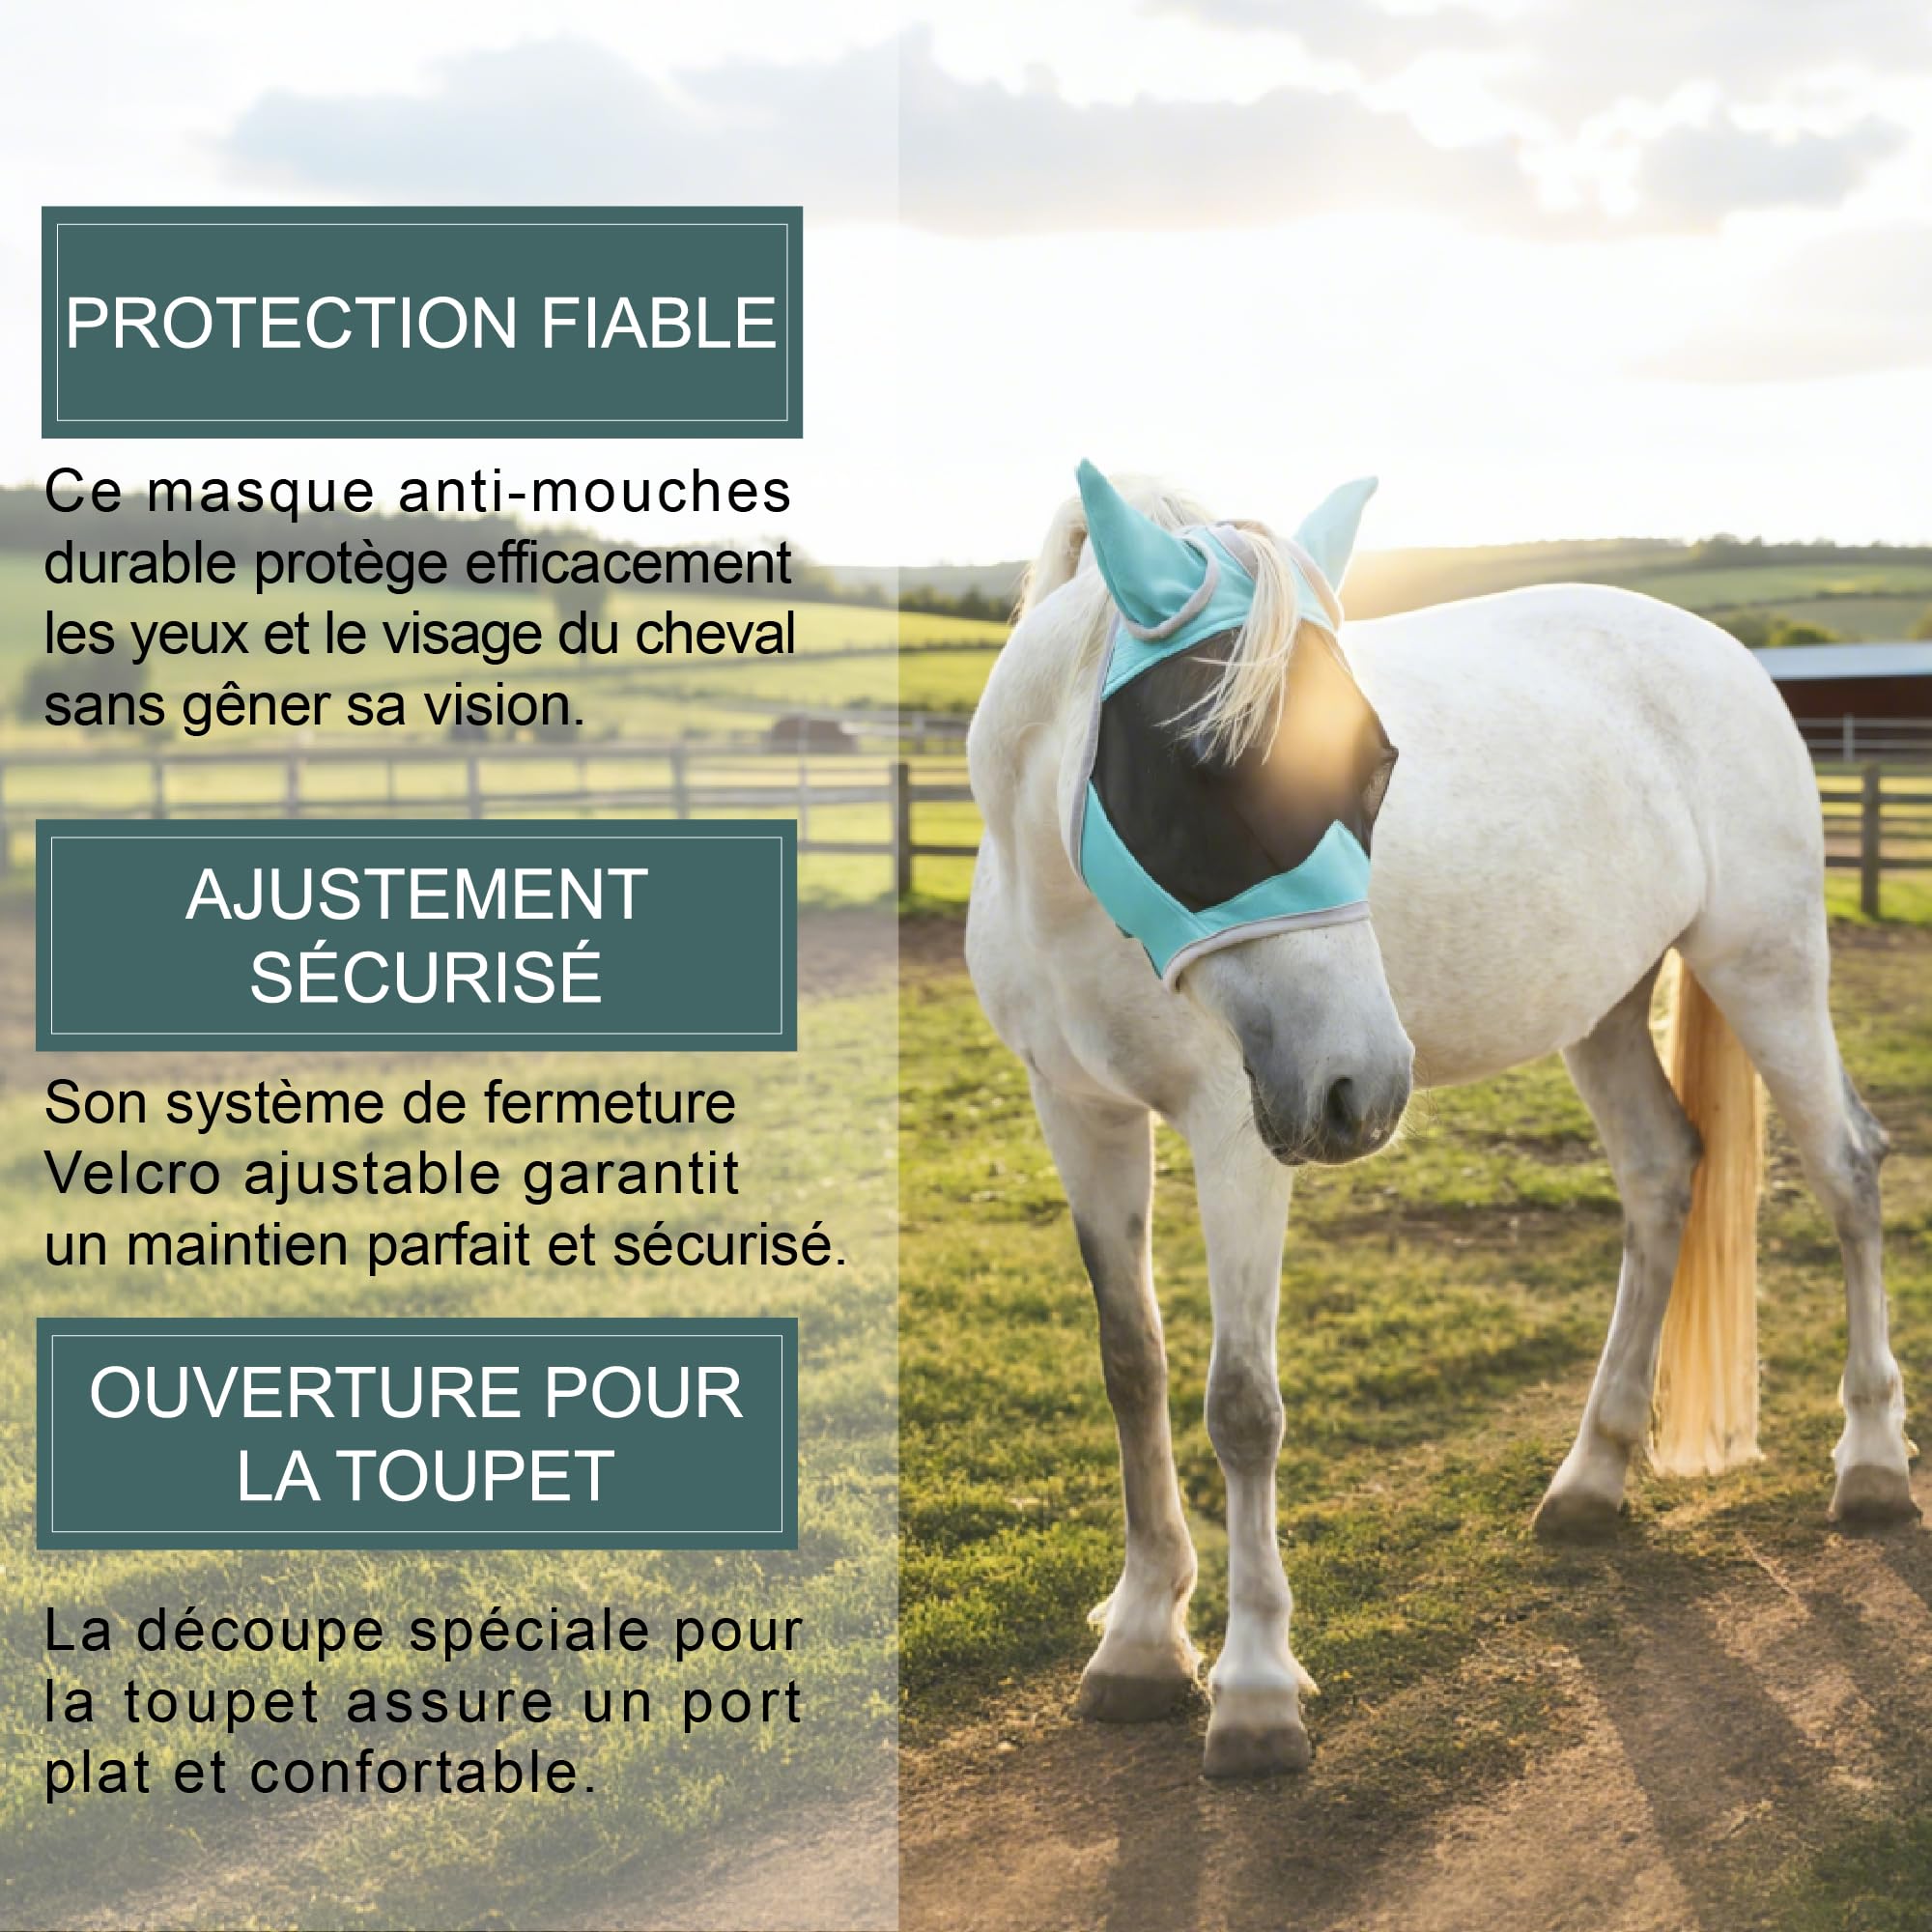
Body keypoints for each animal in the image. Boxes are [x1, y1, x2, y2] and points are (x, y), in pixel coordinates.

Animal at [963, 467, 1916, 1781]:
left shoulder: (1234, 1129)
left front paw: (1253, 1691)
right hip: (1602, 1009)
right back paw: (1591, 1476)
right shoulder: (1079, 1112)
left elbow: (1240, 1402)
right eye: (1204, 756)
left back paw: (1869, 1465)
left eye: (1375, 761)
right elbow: (1131, 1364)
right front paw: (1143, 1639)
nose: (1358, 1084)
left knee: (1844, 1168)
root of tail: (1720, 653)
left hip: (1763, 967)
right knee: (1662, 1174)